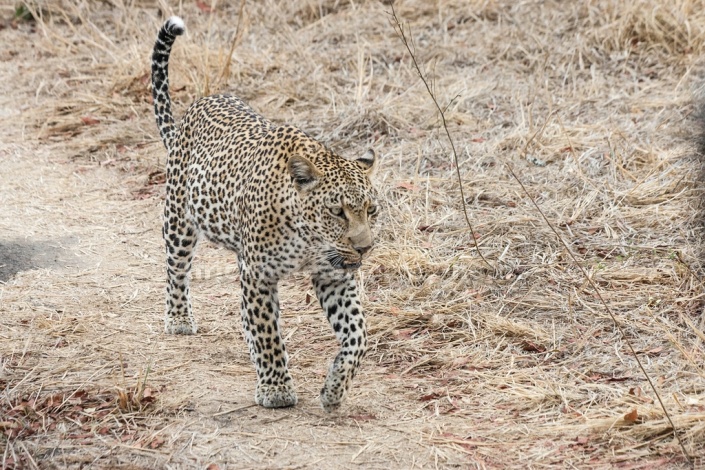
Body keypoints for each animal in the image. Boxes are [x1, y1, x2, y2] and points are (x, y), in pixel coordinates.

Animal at [150, 16, 380, 410]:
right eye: (337, 212)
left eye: (372, 210)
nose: (364, 248)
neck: (308, 238)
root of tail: (194, 110)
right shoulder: (257, 274)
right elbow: (268, 332)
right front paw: (276, 389)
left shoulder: (334, 276)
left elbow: (357, 335)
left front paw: (335, 387)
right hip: (179, 219)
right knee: (176, 269)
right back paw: (179, 317)